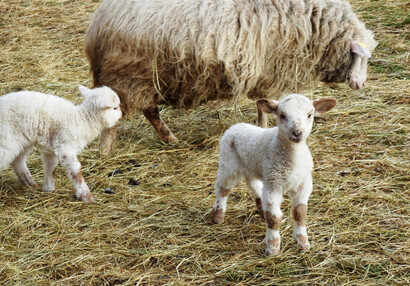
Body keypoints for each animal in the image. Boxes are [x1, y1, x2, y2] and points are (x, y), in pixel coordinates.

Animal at [85, 0, 376, 154]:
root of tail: (98, 25)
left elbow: (261, 103)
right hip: (129, 75)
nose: (361, 84)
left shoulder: (261, 71)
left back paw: (169, 138)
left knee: (150, 111)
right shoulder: (267, 69)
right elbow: (264, 105)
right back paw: (106, 150)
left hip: (144, 79)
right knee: (120, 114)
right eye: (360, 56)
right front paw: (263, 127)